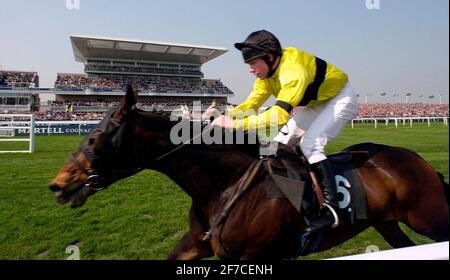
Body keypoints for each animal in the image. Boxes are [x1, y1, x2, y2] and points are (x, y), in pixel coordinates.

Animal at [47, 86, 448, 260]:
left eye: (95, 137)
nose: (59, 184)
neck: (222, 186)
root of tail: (421, 161)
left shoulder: (253, 257)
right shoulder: (197, 244)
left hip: (430, 218)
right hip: (388, 223)